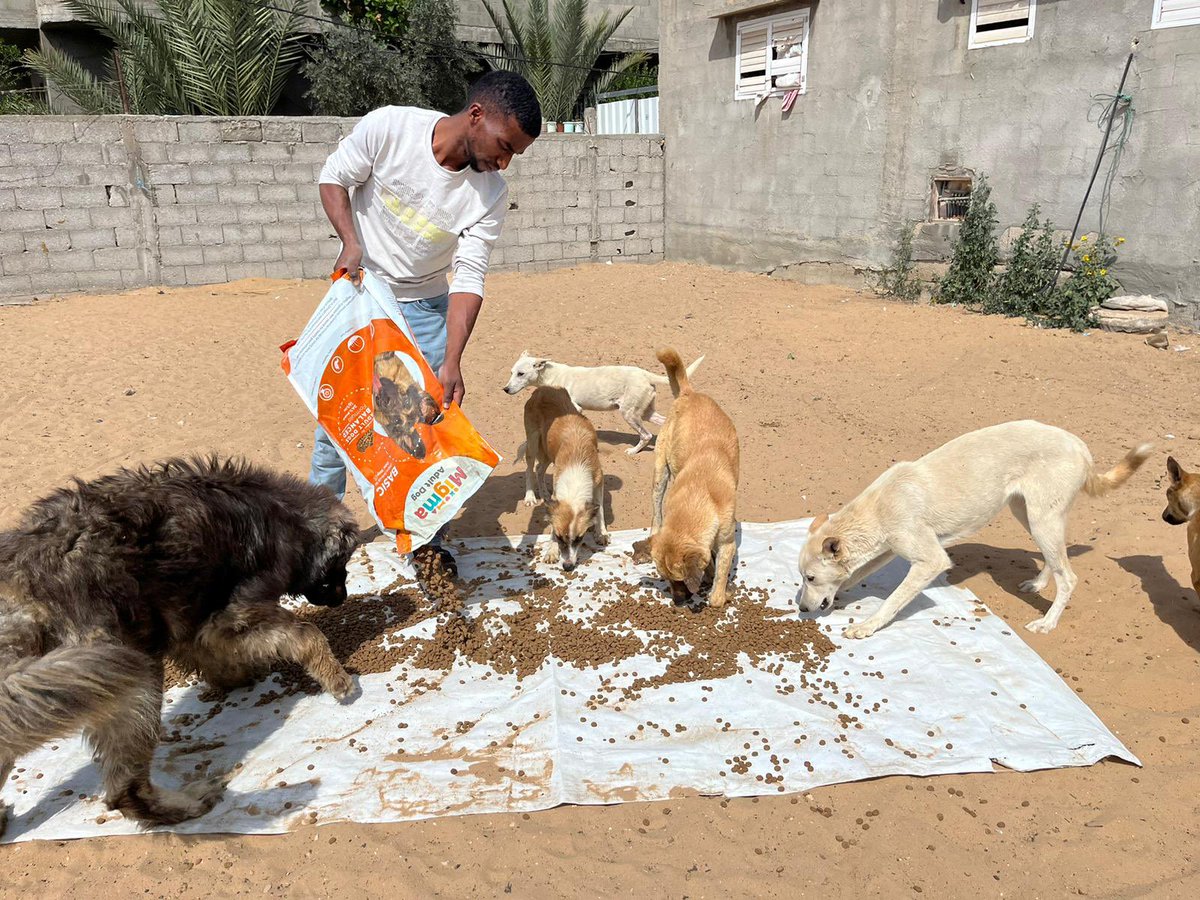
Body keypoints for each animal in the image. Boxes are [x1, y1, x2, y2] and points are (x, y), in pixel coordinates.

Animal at [499, 350, 700, 451]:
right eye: (511, 372)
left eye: (521, 373)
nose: (506, 390)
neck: (551, 375)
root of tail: (645, 374)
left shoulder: (575, 407)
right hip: (646, 412)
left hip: (630, 414)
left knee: (646, 435)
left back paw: (633, 451)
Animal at [518, 386, 604, 571]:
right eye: (558, 537)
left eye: (579, 539)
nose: (568, 566)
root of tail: (542, 388)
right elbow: (552, 522)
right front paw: (551, 551)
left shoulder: (599, 480)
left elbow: (600, 510)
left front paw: (601, 533)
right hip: (533, 441)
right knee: (530, 468)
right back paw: (530, 496)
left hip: (548, 451)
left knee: (539, 469)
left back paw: (544, 493)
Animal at [652, 348, 734, 609]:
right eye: (664, 579)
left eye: (680, 580)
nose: (677, 602)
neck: (699, 493)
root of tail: (689, 392)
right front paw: (711, 577)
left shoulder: (728, 543)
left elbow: (718, 585)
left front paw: (719, 591)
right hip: (660, 473)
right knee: (655, 511)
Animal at [796, 422, 1152, 643]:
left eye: (810, 578)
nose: (802, 609)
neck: (878, 506)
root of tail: (1080, 446)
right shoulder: (888, 548)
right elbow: (856, 574)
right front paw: (844, 593)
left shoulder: (930, 560)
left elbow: (893, 600)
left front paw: (866, 626)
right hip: (1030, 515)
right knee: (1056, 560)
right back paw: (1037, 584)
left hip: (1041, 519)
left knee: (1069, 577)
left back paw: (1047, 622)